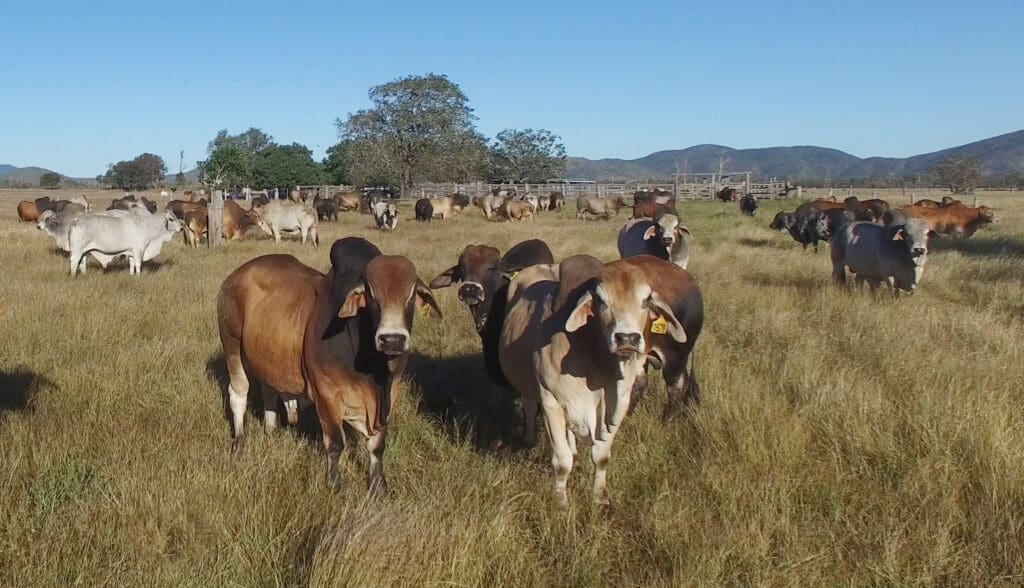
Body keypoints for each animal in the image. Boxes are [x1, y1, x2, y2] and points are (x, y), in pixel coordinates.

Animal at [216, 237, 440, 495]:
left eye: (411, 294)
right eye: (371, 294)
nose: (392, 339)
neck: (373, 372)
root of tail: (236, 275)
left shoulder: (389, 397)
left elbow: (376, 445)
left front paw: (378, 487)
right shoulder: (326, 393)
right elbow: (335, 443)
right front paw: (335, 484)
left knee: (269, 390)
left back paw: (271, 432)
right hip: (231, 344)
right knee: (238, 394)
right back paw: (240, 443)